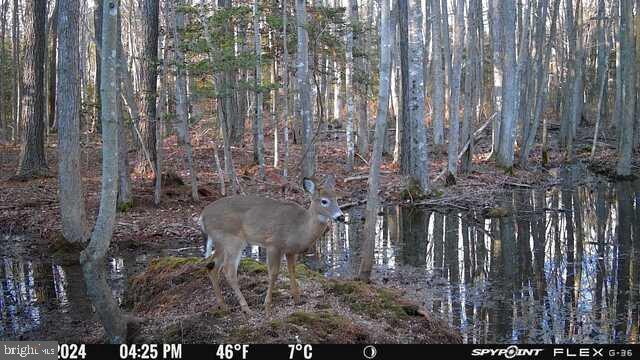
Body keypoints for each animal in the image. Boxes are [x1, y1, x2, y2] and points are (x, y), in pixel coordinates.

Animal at [200, 176, 344, 314]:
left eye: (337, 198)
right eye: (324, 201)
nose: (341, 217)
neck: (300, 228)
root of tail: (202, 217)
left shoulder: (290, 250)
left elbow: (292, 270)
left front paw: (297, 299)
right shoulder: (273, 244)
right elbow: (273, 273)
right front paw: (267, 305)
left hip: (221, 242)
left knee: (212, 266)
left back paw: (223, 305)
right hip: (232, 240)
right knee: (228, 271)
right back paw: (246, 308)